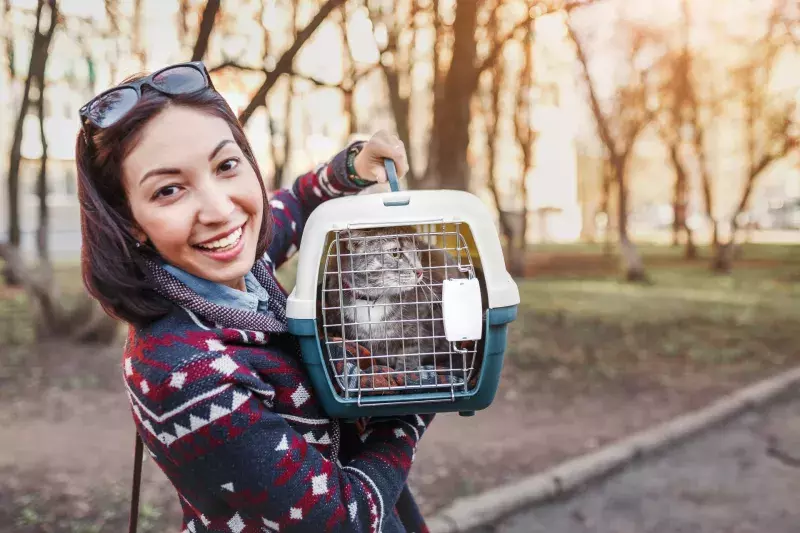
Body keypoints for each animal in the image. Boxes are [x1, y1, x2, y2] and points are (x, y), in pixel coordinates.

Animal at [320, 225, 466, 374]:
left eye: (417, 252)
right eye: (395, 253)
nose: (420, 271)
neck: (372, 300)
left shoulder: (425, 334)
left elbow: (410, 357)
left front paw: (402, 373)